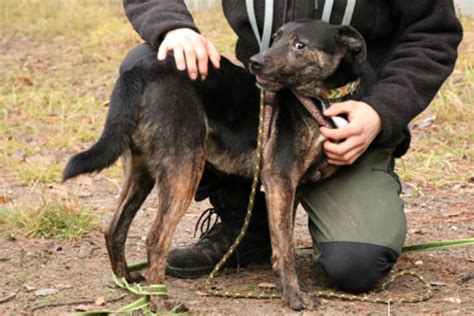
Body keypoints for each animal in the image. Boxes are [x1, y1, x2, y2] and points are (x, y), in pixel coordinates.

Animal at [63, 18, 374, 310]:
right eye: (276, 38)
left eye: (300, 45)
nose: (255, 62)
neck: (317, 99)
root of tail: (142, 71)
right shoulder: (279, 177)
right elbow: (285, 246)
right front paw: (294, 295)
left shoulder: (292, 188)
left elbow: (280, 239)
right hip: (185, 167)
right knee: (155, 239)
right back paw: (160, 302)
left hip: (143, 170)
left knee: (114, 227)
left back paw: (127, 281)